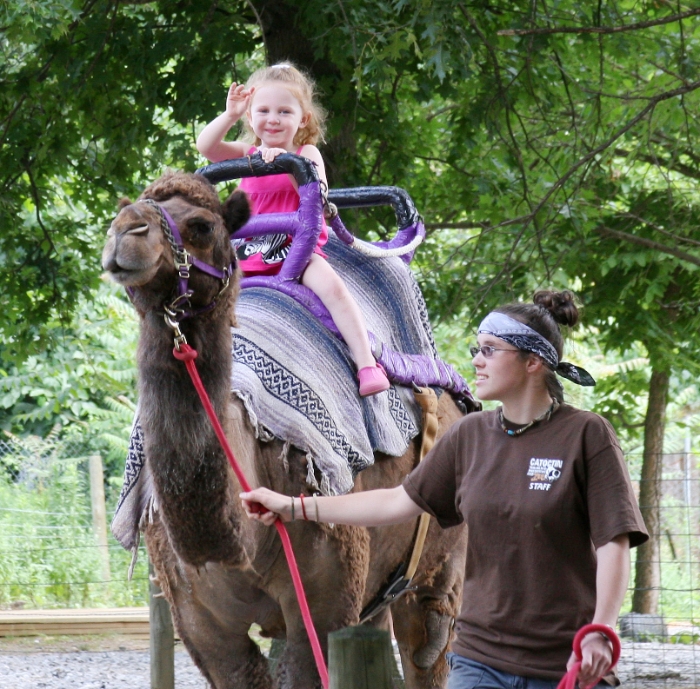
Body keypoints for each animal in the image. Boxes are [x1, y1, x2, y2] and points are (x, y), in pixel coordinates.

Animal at [100, 168, 470, 688]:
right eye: (125, 208)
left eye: (202, 225)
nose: (125, 232)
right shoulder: (199, 621)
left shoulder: (325, 604)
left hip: (442, 554)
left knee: (428, 641)